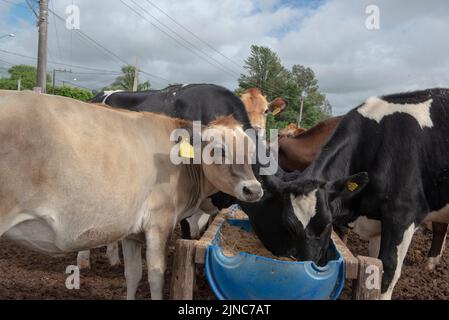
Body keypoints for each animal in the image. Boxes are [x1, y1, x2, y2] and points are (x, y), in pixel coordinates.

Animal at [0, 90, 262, 300]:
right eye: (218, 150)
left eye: (251, 150)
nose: (254, 189)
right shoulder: (159, 223)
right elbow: (156, 275)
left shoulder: (132, 231)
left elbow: (133, 274)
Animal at [243, 88, 448, 300]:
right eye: (289, 226)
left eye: (326, 224)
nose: (310, 263)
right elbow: (375, 264)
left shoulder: (403, 215)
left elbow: (388, 270)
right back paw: (431, 264)